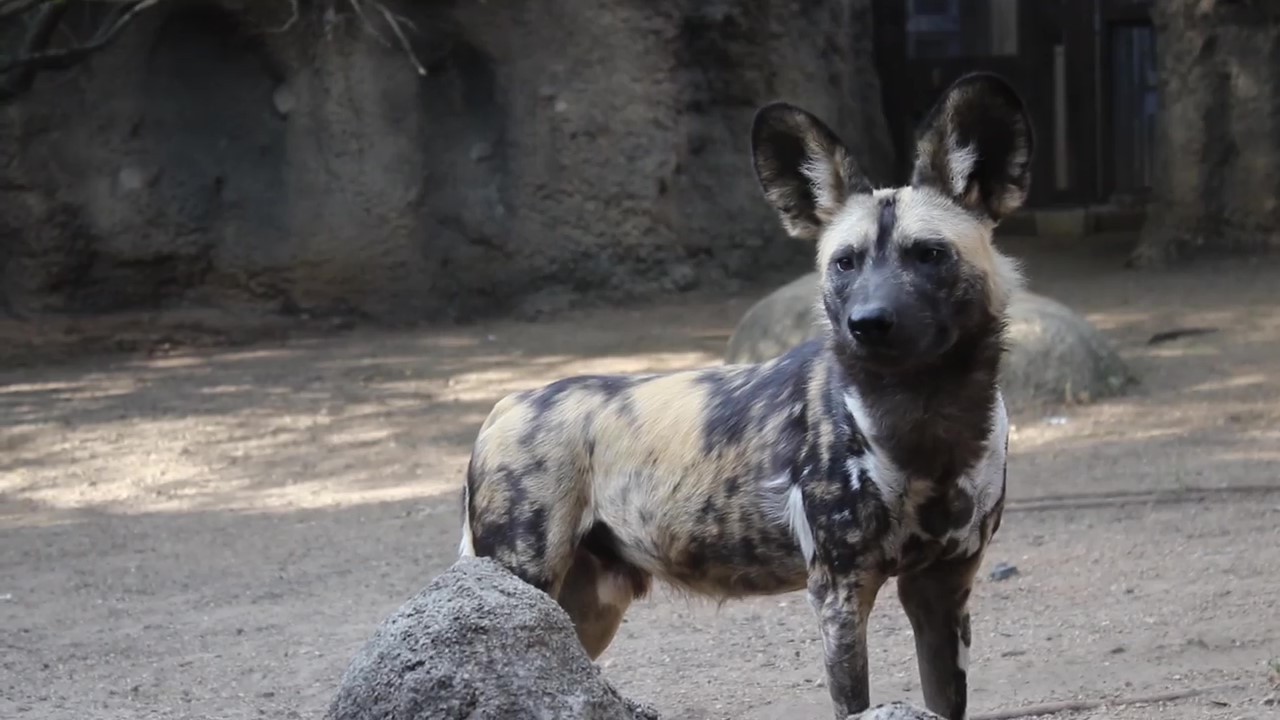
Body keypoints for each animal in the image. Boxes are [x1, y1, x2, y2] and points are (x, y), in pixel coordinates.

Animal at [458, 72, 1033, 720]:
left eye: (930, 254)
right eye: (845, 263)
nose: (867, 323)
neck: (924, 420)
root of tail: (510, 404)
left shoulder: (942, 591)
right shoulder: (839, 593)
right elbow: (853, 700)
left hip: (585, 608)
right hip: (521, 587)